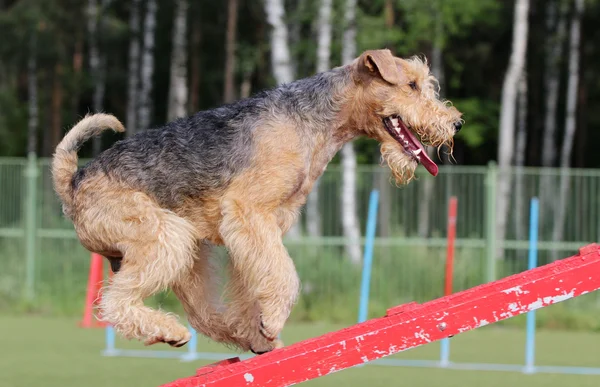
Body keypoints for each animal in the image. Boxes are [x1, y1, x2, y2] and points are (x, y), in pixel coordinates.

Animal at [52, 48, 464, 354]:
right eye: (411, 84)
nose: (455, 123)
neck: (314, 120)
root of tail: (72, 181)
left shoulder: (259, 228)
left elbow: (257, 281)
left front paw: (262, 325)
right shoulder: (248, 212)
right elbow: (284, 276)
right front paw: (274, 318)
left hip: (187, 256)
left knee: (203, 314)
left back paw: (240, 340)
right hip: (163, 237)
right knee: (115, 302)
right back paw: (171, 330)